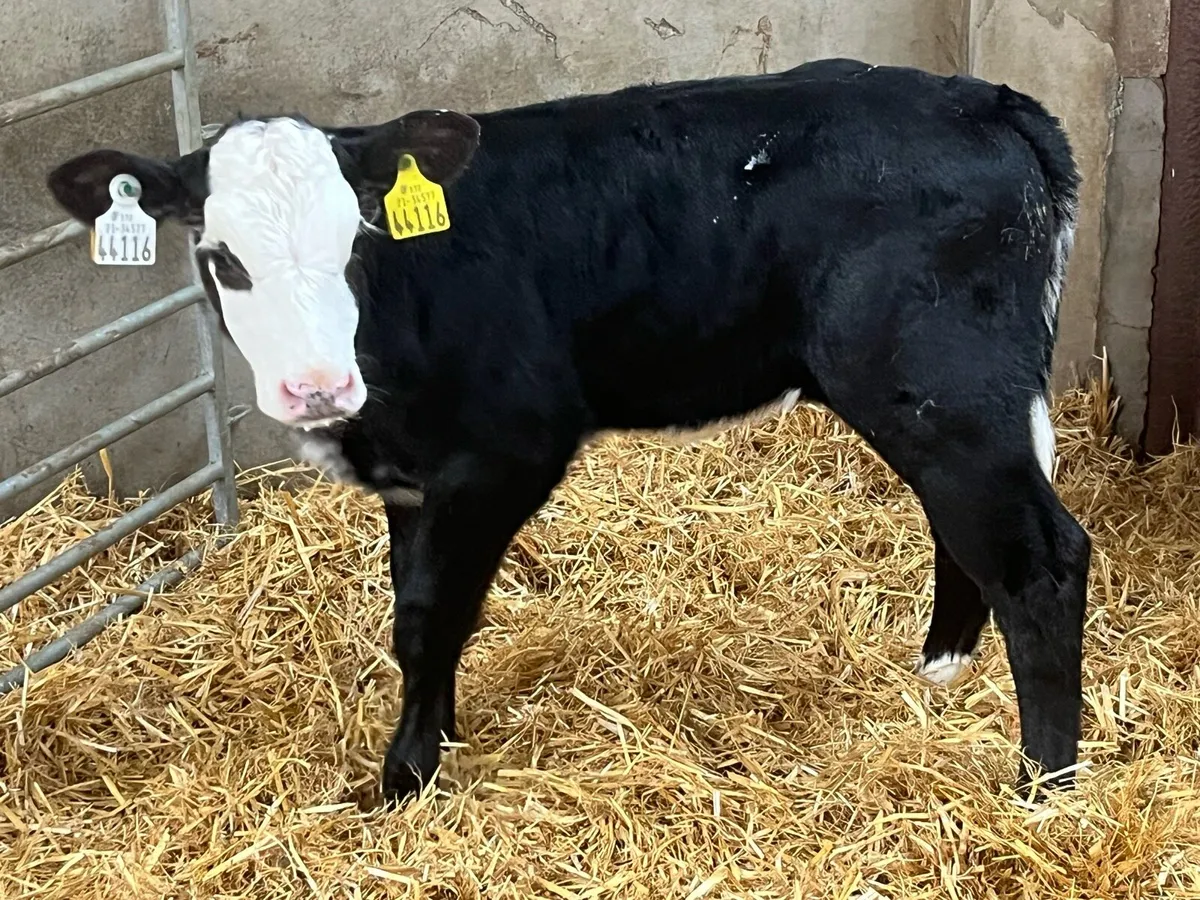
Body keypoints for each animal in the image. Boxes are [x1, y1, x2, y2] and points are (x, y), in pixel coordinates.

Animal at [46, 58, 1091, 804]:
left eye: (358, 241)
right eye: (223, 259)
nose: (315, 387)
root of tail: (989, 102)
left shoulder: (508, 450)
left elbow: (432, 615)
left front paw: (404, 779)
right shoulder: (415, 476)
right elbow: (416, 609)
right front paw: (437, 738)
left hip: (938, 382)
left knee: (1042, 557)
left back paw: (1042, 788)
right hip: (939, 399)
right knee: (967, 530)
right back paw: (943, 668)